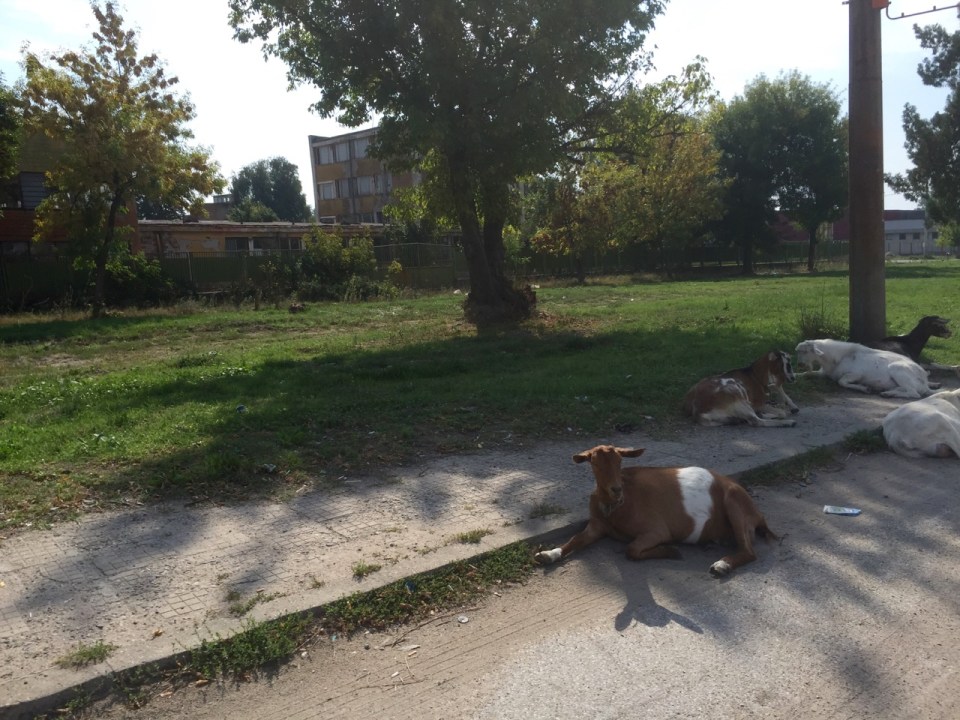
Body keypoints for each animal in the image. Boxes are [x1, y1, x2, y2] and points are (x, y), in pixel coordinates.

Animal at [534, 445, 777, 577]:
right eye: (594, 463)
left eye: (619, 461)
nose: (616, 489)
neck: (619, 505)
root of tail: (758, 514)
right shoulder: (596, 526)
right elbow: (575, 540)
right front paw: (549, 554)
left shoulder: (656, 531)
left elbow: (631, 550)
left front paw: (670, 551)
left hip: (734, 503)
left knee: (750, 551)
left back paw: (722, 565)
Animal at [795, 339, 938, 399]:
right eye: (798, 351)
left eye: (805, 351)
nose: (799, 364)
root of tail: (925, 382)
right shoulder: (824, 373)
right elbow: (806, 374)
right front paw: (796, 375)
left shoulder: (856, 374)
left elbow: (841, 381)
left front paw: (864, 388)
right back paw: (886, 391)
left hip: (898, 369)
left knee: (914, 393)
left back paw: (888, 394)